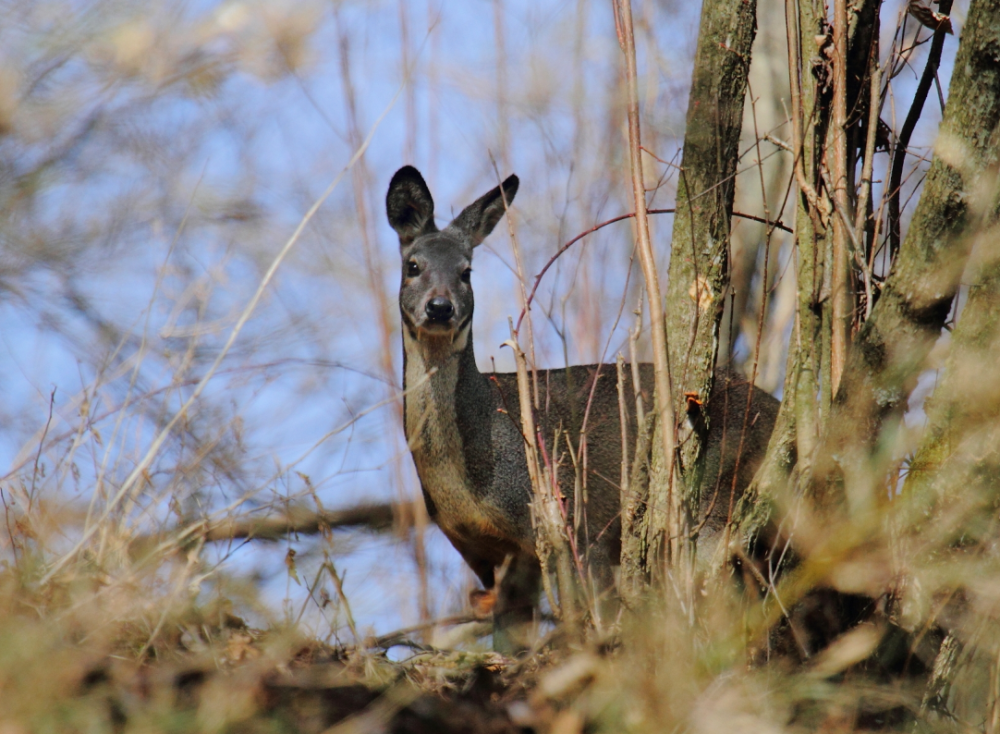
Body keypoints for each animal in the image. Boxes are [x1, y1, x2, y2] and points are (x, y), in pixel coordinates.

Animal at [384, 165, 780, 648]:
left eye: (467, 271)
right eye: (413, 266)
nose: (440, 307)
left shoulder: (575, 522)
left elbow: (592, 621)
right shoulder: (489, 558)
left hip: (716, 492)